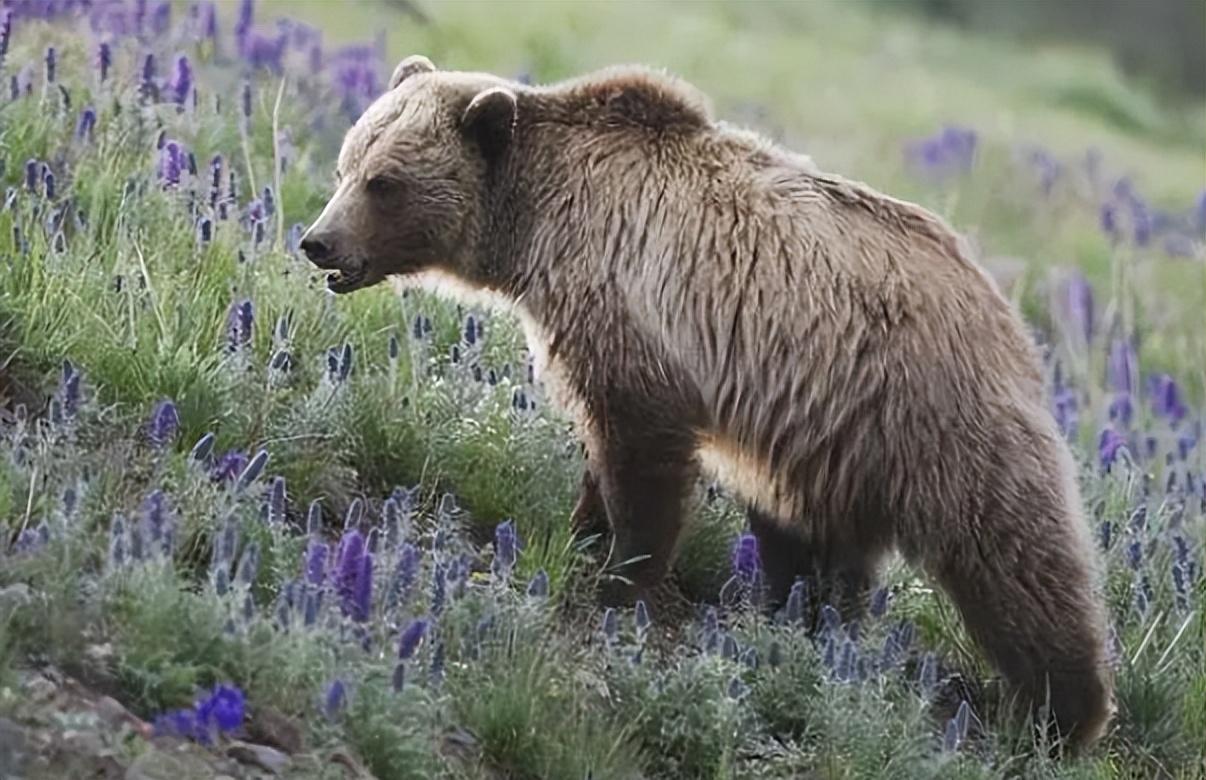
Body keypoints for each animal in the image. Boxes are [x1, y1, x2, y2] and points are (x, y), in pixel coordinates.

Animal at [301, 54, 1109, 752]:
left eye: (384, 181)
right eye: (347, 161)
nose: (317, 241)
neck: (540, 220)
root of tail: (1011, 316)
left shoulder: (636, 314)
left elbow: (642, 461)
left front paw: (619, 580)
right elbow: (600, 452)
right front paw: (580, 540)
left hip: (934, 415)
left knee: (1014, 559)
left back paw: (1060, 717)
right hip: (830, 437)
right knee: (815, 543)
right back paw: (804, 626)